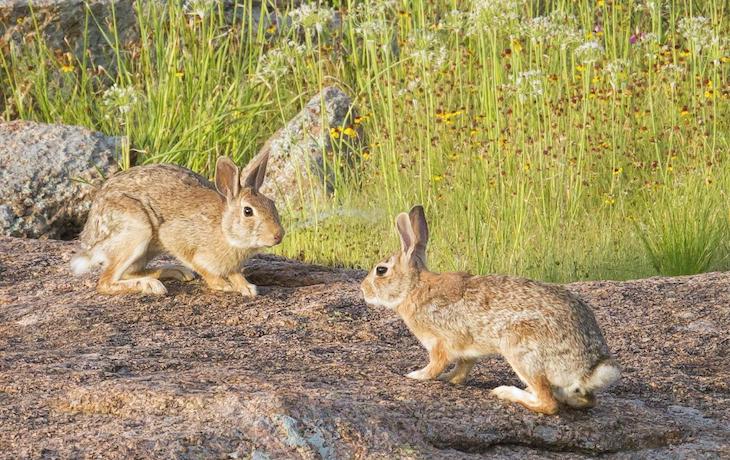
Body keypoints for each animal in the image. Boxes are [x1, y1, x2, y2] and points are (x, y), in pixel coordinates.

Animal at [70, 155, 282, 296]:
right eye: (248, 211)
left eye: (272, 203)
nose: (278, 235)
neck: (224, 227)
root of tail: (90, 241)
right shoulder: (176, 238)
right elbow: (200, 265)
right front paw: (222, 285)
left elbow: (235, 273)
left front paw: (247, 287)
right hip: (137, 232)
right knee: (105, 282)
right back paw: (151, 286)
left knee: (130, 272)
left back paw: (175, 272)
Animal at [362, 207, 616, 416]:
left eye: (381, 270)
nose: (363, 289)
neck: (413, 288)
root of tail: (590, 368)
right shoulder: (466, 352)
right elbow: (462, 369)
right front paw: (449, 379)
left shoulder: (439, 342)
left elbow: (436, 365)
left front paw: (415, 375)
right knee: (584, 401)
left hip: (520, 348)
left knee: (548, 403)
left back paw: (506, 392)